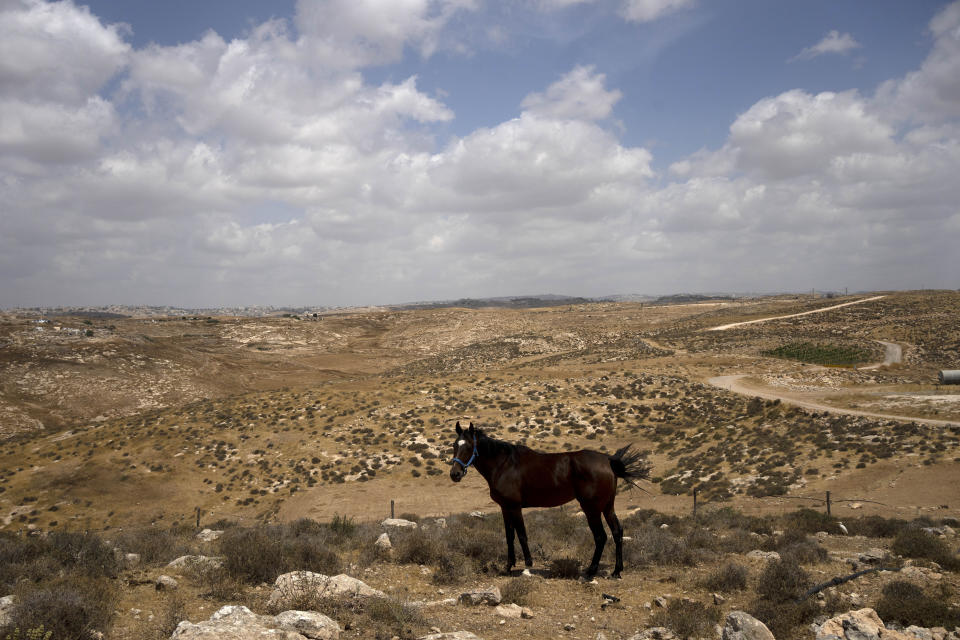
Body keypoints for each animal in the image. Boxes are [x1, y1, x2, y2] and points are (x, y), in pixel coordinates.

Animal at [450, 420, 652, 580]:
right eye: (454, 445)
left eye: (469, 446)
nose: (455, 474)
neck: (504, 465)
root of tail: (608, 461)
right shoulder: (505, 508)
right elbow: (509, 536)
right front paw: (508, 567)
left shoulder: (515, 507)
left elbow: (521, 535)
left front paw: (528, 565)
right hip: (607, 507)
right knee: (617, 532)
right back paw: (616, 571)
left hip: (591, 508)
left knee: (601, 536)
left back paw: (590, 571)